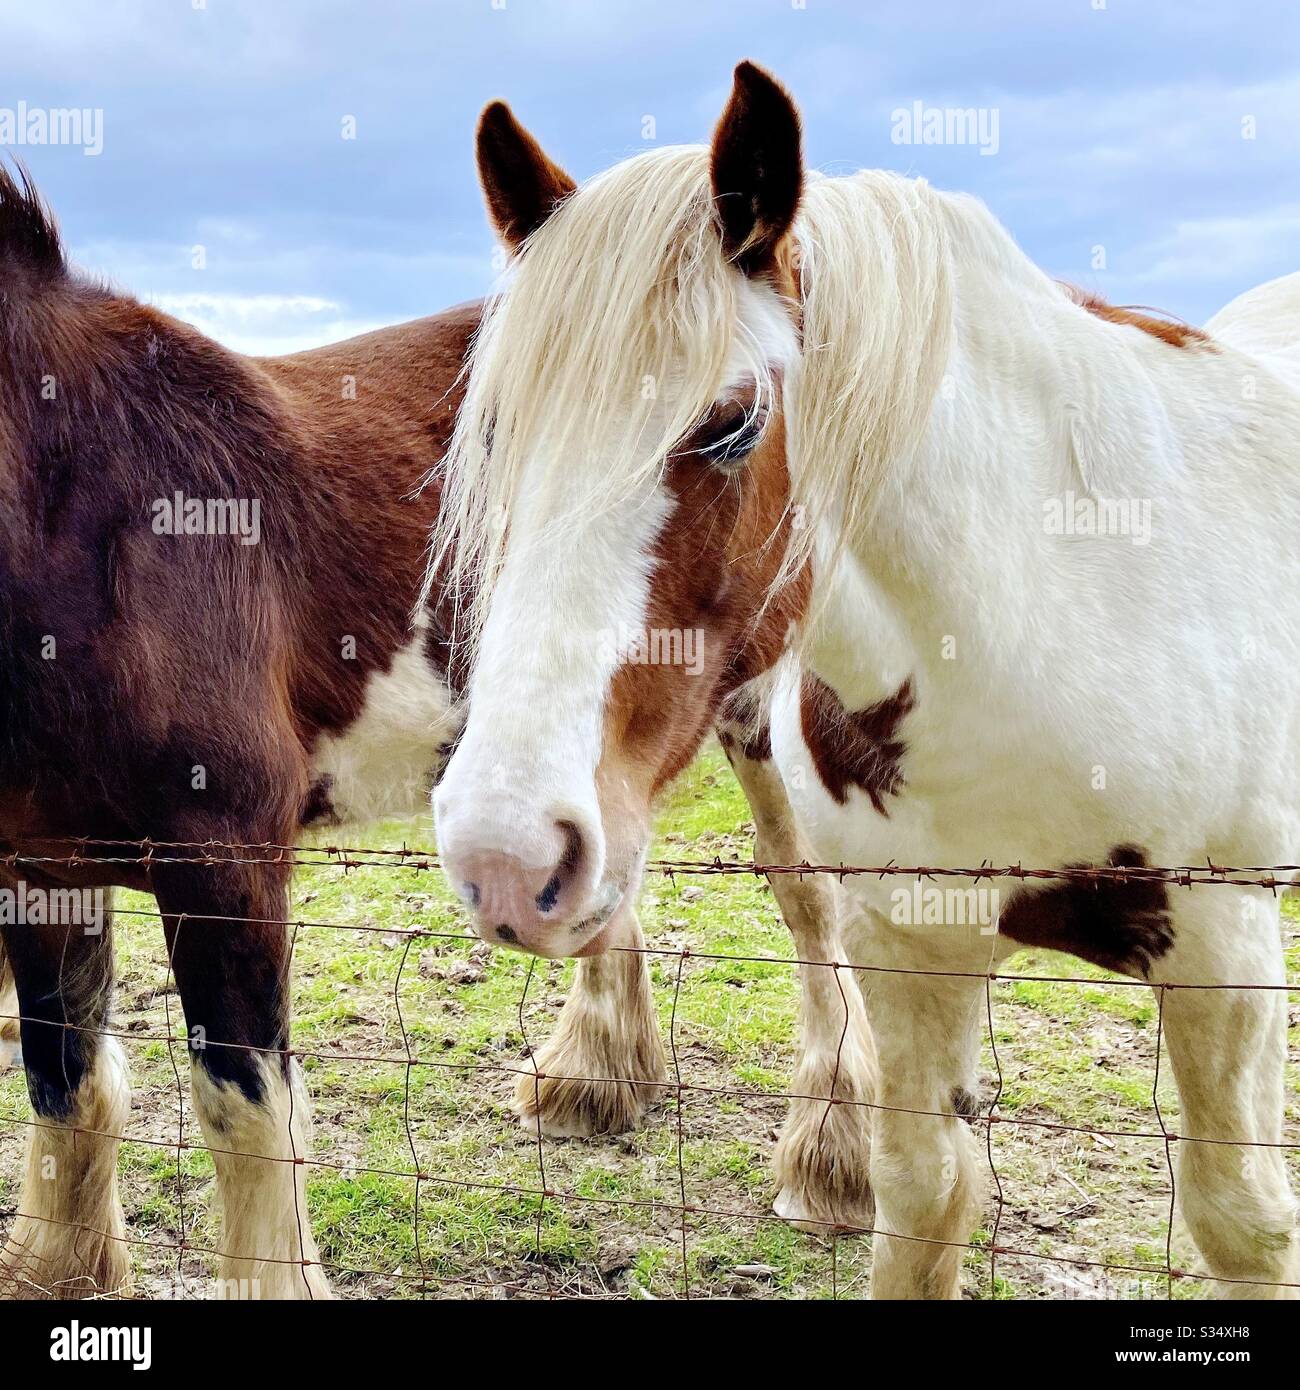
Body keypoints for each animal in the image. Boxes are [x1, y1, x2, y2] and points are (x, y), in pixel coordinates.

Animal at [0, 162, 873, 1300]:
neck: (80, 507)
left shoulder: (224, 856)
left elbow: (244, 1113)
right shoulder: (38, 863)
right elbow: (62, 1081)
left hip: (754, 706)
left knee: (805, 898)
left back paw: (833, 1158)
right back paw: (592, 1081)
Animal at [431, 62, 1300, 1299]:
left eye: (733, 422)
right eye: (497, 434)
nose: (506, 855)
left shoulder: (1220, 951)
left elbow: (1240, 1223)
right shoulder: (907, 944)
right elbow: (924, 1196)